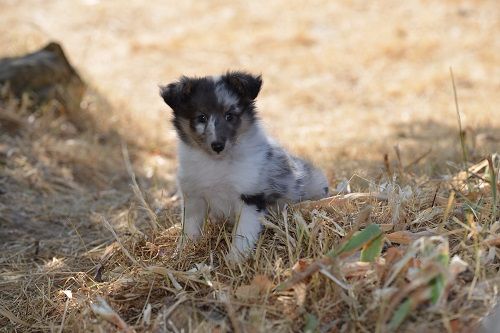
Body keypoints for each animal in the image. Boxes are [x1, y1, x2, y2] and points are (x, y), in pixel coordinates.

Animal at [160, 72, 330, 262]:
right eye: (201, 117)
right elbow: (189, 229)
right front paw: (181, 254)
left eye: (229, 116)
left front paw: (236, 259)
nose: (217, 146)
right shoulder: (193, 197)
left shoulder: (250, 197)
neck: (216, 163)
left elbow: (243, 233)